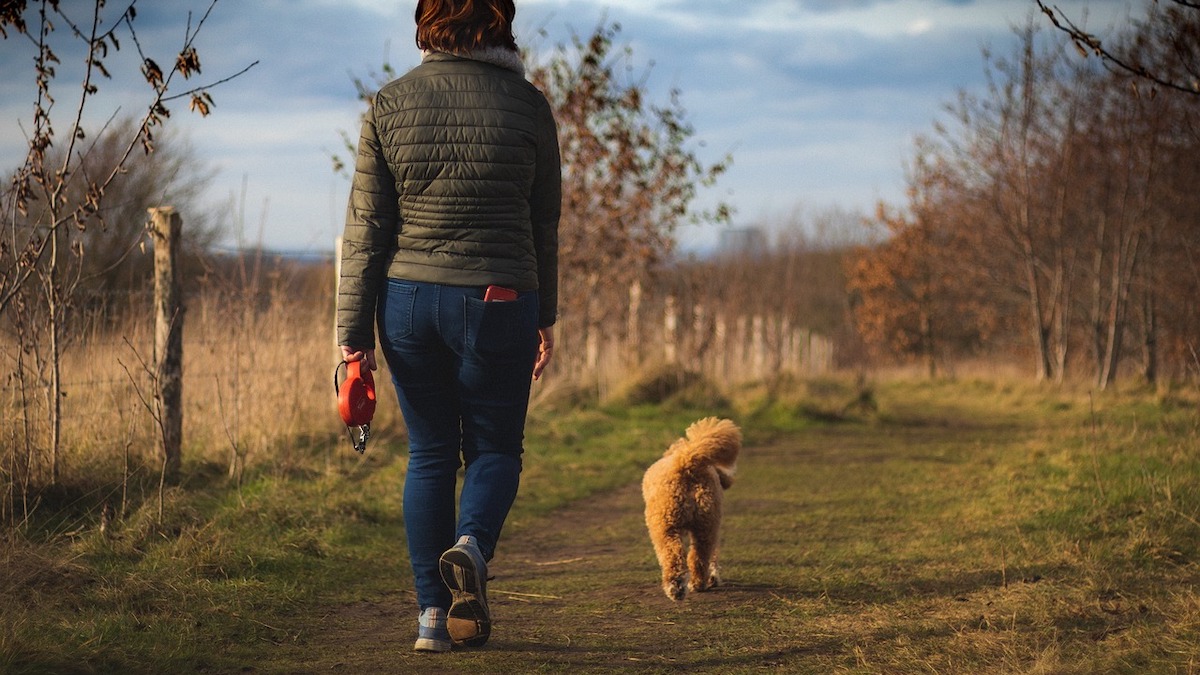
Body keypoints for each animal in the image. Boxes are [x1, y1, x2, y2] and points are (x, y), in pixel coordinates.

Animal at [638, 415, 739, 598]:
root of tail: (687, 462)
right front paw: (713, 578)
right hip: (706, 524)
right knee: (700, 556)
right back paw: (698, 583)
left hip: (665, 526)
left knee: (673, 556)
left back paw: (676, 587)